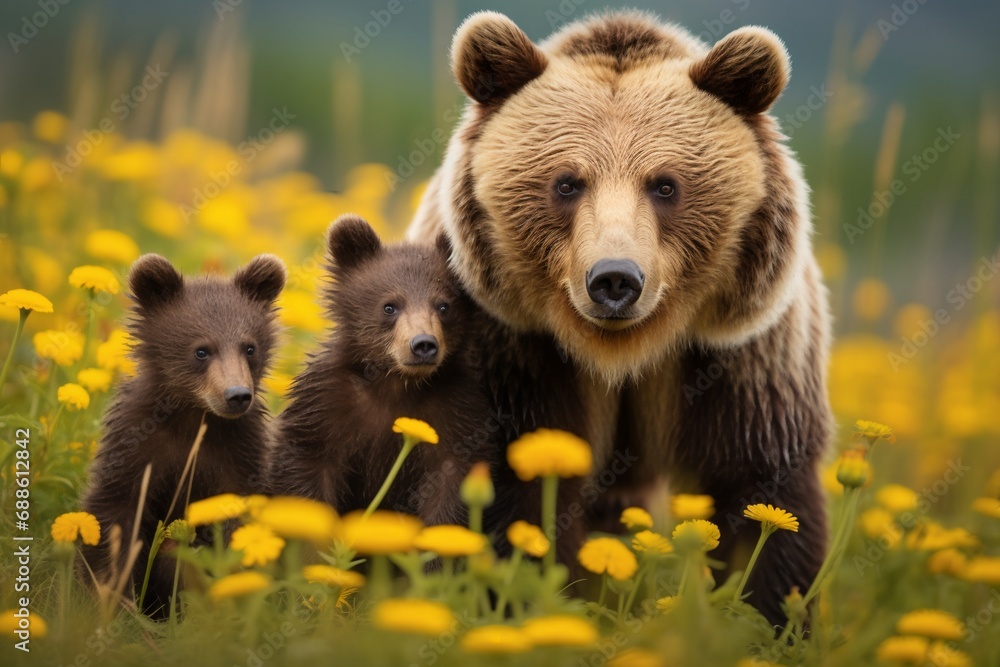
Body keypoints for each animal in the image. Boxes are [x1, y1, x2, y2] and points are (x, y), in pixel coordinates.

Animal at [81, 253, 286, 617]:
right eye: (202, 350)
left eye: (249, 348)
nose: (237, 395)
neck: (194, 416)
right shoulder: (137, 446)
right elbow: (114, 515)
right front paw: (114, 601)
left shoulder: (240, 453)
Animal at [268, 214, 512, 531]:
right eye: (389, 306)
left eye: (444, 305)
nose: (423, 344)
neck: (397, 383)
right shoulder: (326, 407)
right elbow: (307, 469)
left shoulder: (457, 413)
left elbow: (451, 485)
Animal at [406, 10, 832, 624]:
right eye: (566, 182)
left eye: (665, 184)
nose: (614, 279)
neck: (623, 352)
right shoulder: (507, 350)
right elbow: (519, 499)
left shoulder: (743, 356)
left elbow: (763, 495)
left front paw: (771, 617)